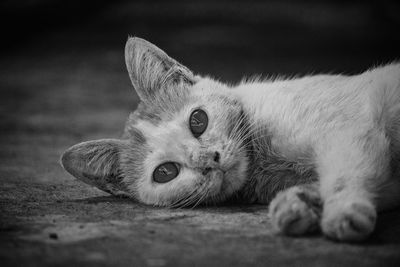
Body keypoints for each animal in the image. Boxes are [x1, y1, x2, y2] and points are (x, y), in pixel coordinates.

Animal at [60, 36, 400, 244]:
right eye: (165, 172)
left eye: (198, 120)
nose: (210, 160)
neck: (263, 163)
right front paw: (299, 203)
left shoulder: (348, 130)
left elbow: (343, 175)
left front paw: (343, 210)